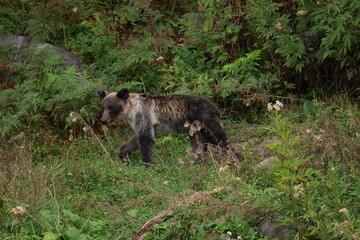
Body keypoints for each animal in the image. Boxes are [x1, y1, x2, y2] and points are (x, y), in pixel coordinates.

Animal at [97, 88, 242, 165]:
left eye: (111, 107)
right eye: (103, 106)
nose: (103, 120)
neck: (131, 110)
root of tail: (216, 108)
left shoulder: (144, 115)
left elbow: (146, 140)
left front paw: (145, 164)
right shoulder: (142, 122)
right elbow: (136, 139)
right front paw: (123, 154)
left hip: (205, 121)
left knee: (220, 139)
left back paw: (238, 159)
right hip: (195, 128)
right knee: (199, 145)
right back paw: (197, 161)